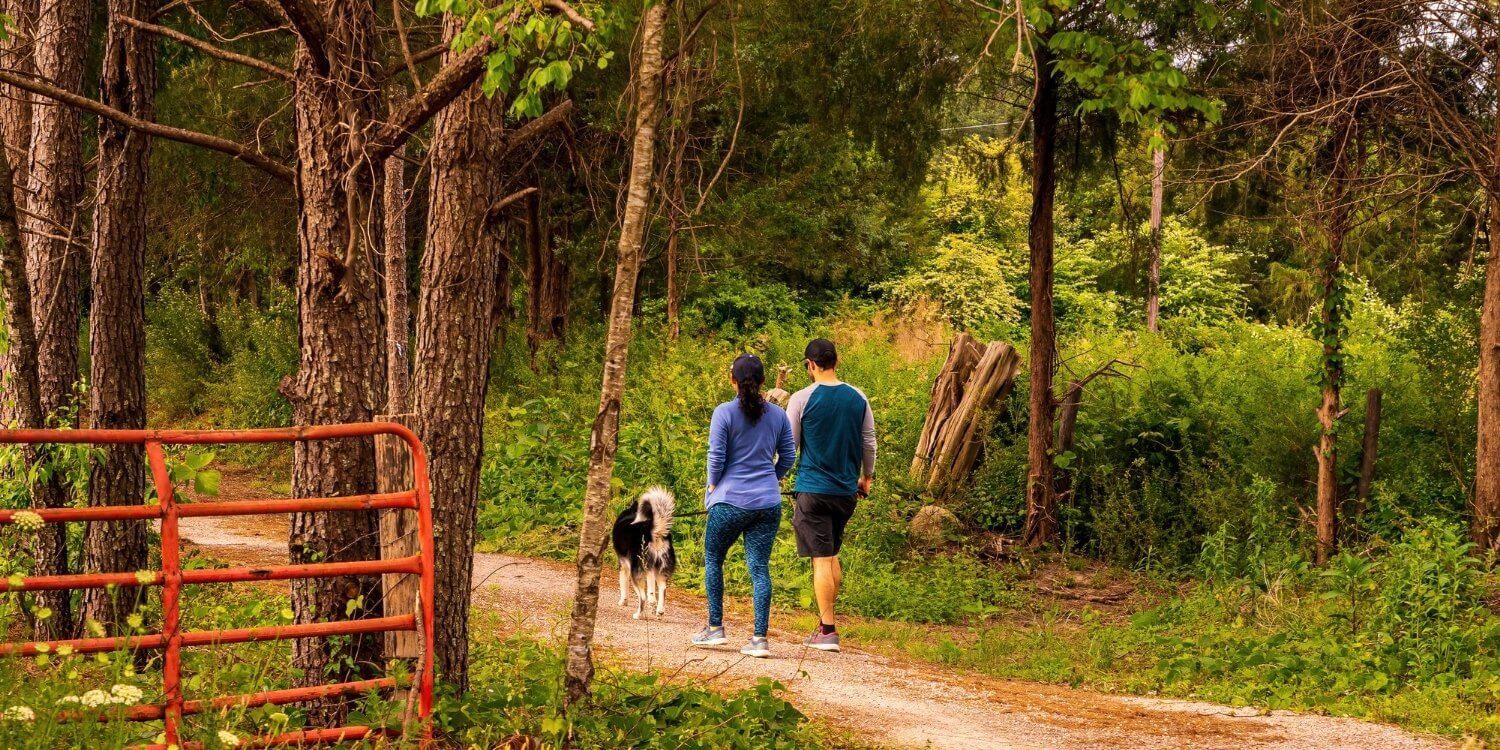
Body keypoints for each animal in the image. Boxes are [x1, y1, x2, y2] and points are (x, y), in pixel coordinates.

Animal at [612, 489, 678, 618]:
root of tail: (652, 531)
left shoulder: (624, 566)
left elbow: (623, 585)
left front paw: (623, 601)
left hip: (637, 571)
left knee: (643, 597)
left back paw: (639, 614)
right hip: (660, 568)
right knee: (662, 589)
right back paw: (659, 610)